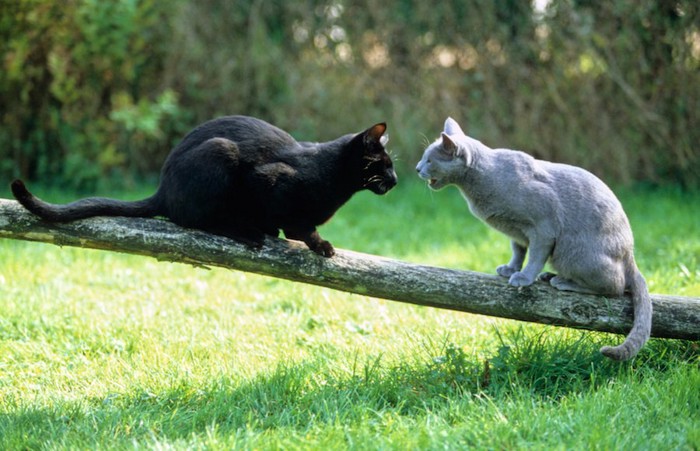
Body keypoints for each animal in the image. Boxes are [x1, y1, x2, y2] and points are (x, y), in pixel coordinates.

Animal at [10, 115, 396, 258]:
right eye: (385, 164)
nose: (394, 181)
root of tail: (162, 190)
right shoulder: (266, 179)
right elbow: (300, 226)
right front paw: (320, 244)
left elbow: (295, 227)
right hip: (220, 151)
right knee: (197, 221)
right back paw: (247, 233)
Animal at [416, 118, 652, 362]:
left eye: (429, 160)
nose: (417, 168)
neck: (482, 182)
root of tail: (630, 257)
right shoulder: (516, 232)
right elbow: (518, 252)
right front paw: (510, 269)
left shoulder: (543, 227)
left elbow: (535, 256)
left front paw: (524, 278)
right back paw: (550, 276)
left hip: (575, 255)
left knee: (614, 287)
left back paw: (564, 282)